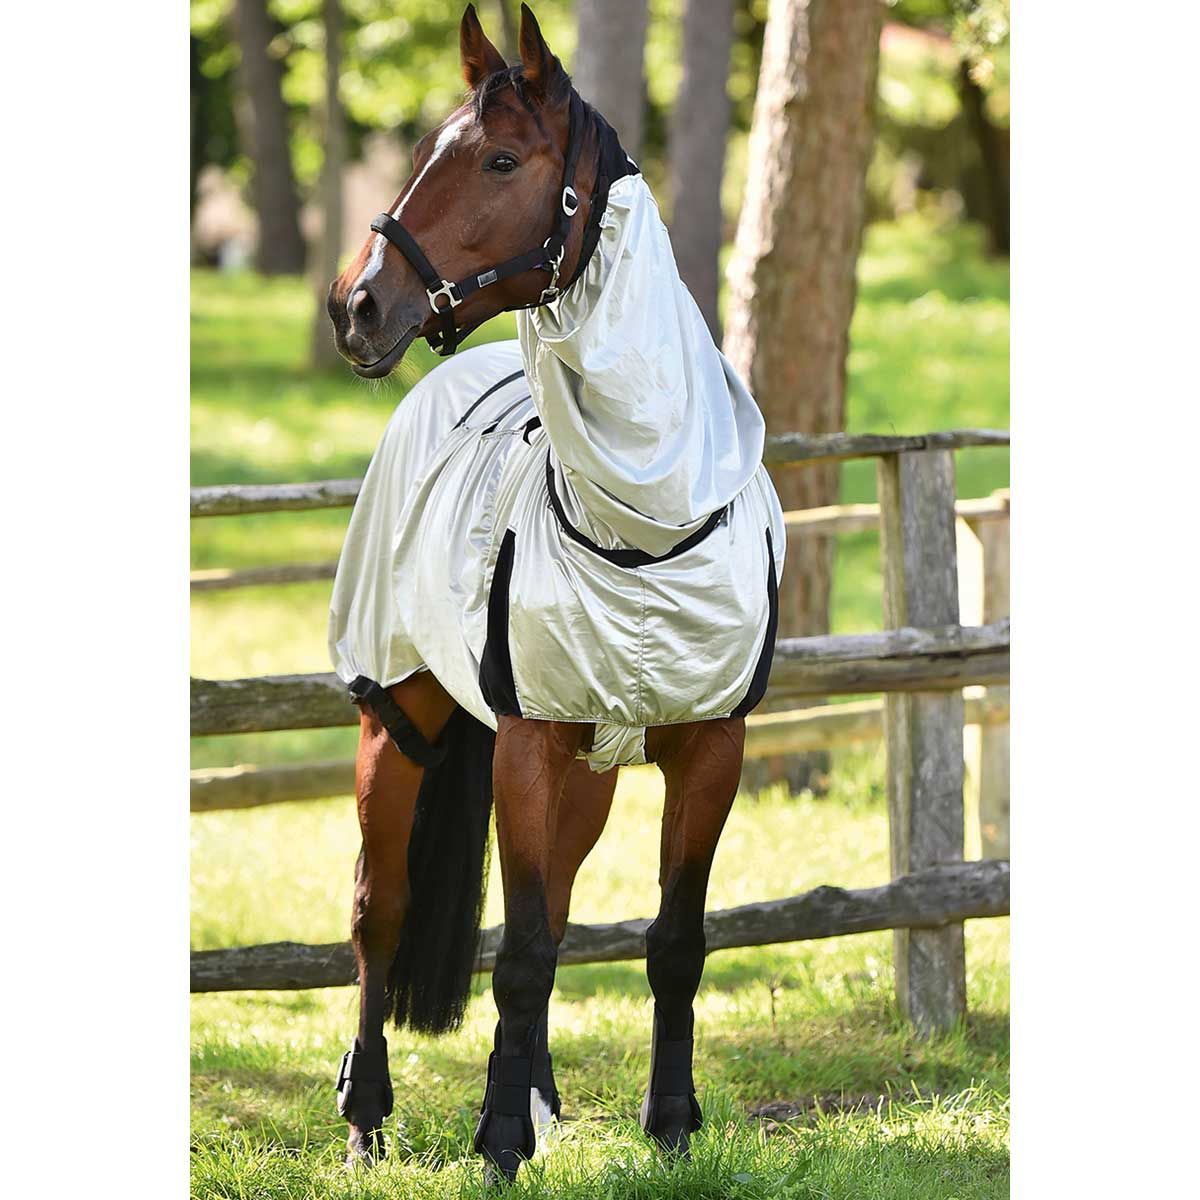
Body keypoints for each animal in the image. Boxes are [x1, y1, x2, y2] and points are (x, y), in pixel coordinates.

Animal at [324, 4, 785, 1181]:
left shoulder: (710, 746)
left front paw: (671, 1127)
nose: (359, 307)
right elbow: (522, 954)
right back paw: (368, 1120)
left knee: (562, 907)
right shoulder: (526, 744)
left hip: (589, 767)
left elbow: (672, 943)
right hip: (398, 724)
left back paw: (534, 1098)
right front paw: (494, 1145)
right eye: (426, 147)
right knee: (378, 913)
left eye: (498, 159)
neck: (650, 520)